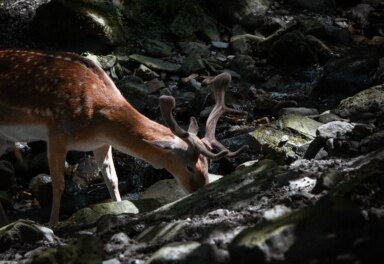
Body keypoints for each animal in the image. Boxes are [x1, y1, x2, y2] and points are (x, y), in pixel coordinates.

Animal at [0, 49, 246, 225]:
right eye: (189, 167)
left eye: (207, 166)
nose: (201, 191)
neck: (97, 117)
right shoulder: (57, 133)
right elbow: (58, 185)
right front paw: (53, 225)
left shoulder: (101, 143)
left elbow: (113, 180)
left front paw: (118, 209)